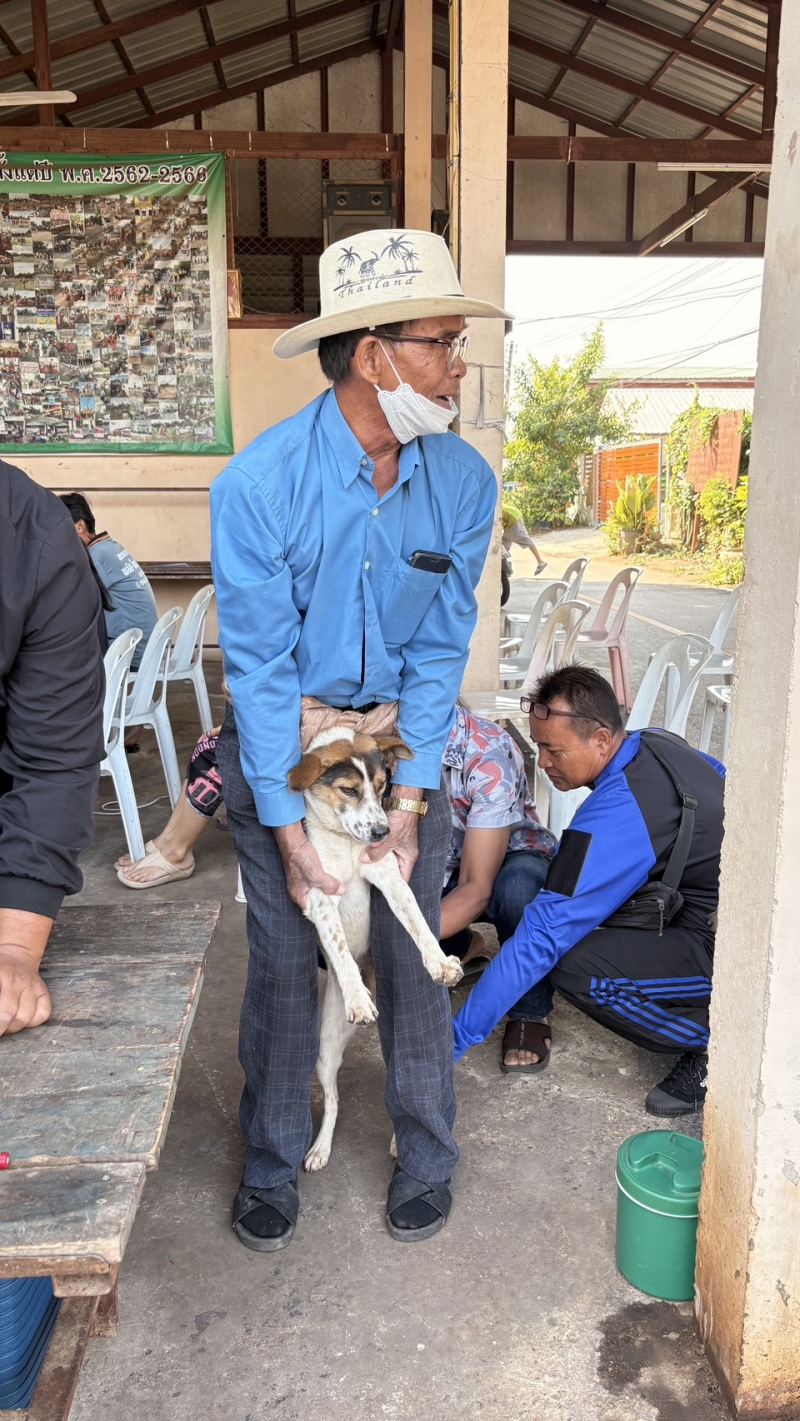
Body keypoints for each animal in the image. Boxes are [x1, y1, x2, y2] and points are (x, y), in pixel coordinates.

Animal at [287, 726, 464, 1172]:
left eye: (384, 787)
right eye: (349, 790)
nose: (384, 833)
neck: (345, 842)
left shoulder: (389, 876)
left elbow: (417, 921)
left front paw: (439, 963)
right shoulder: (319, 899)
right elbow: (338, 948)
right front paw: (357, 997)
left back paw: (404, 1142)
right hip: (324, 1051)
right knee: (333, 1102)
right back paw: (320, 1148)